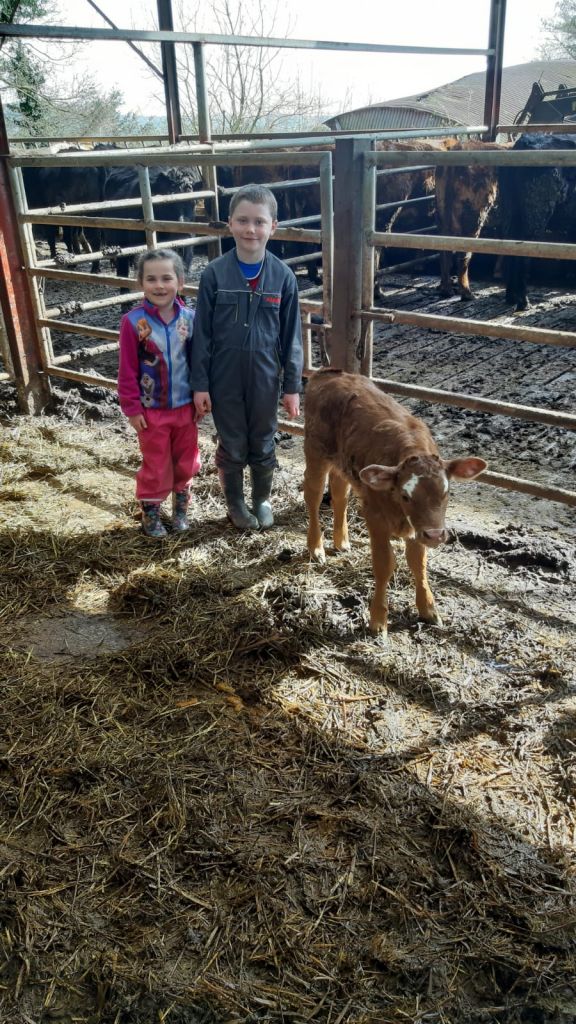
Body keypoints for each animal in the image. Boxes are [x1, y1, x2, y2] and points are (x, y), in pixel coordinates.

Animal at [303, 369, 487, 638]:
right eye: (406, 496)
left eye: (446, 493)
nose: (435, 535)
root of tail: (329, 373)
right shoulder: (375, 517)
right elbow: (384, 564)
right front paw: (378, 620)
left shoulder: (418, 527)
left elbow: (418, 564)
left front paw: (428, 609)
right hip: (315, 452)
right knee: (314, 496)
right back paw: (316, 548)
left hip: (342, 464)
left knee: (339, 494)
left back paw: (342, 541)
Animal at [498, 132, 576, 311]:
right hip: (535, 214)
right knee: (523, 252)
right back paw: (523, 301)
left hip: (511, 212)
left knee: (510, 248)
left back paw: (511, 297)